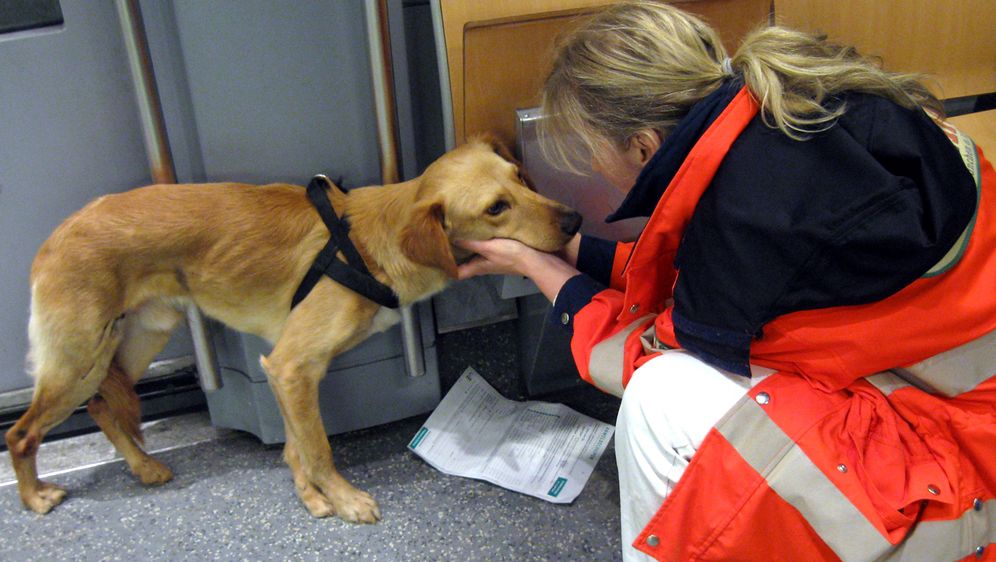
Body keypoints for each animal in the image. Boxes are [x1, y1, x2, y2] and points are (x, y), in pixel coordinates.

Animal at [7, 137, 580, 520]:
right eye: (496, 208)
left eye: (521, 177)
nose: (575, 220)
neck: (369, 243)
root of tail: (60, 232)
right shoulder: (290, 366)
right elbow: (319, 447)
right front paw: (343, 499)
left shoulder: (288, 371)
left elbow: (296, 444)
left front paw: (309, 494)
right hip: (78, 358)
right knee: (21, 433)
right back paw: (35, 496)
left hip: (138, 338)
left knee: (103, 406)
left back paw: (144, 468)